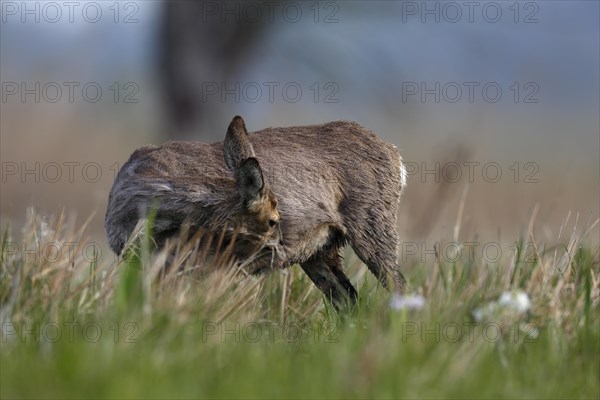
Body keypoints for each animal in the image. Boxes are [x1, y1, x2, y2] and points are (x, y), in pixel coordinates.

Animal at [106, 115, 408, 310]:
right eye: (273, 220)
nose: (282, 246)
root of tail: (395, 154)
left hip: (373, 222)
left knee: (399, 285)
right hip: (320, 251)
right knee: (349, 300)